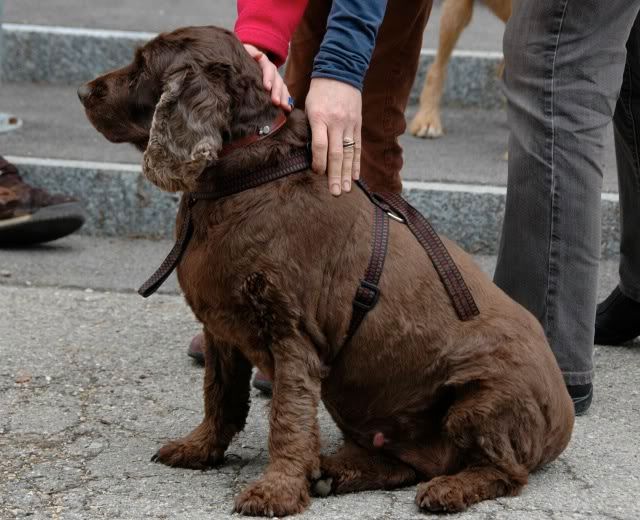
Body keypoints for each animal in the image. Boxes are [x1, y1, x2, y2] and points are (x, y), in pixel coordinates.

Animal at [80, 26, 576, 516]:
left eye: (142, 67)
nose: (84, 91)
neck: (242, 173)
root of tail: (565, 417)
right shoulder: (222, 331)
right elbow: (219, 395)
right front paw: (199, 448)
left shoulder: (292, 332)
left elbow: (288, 417)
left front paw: (276, 491)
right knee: (406, 464)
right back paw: (332, 472)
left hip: (481, 399)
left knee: (505, 472)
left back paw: (448, 490)